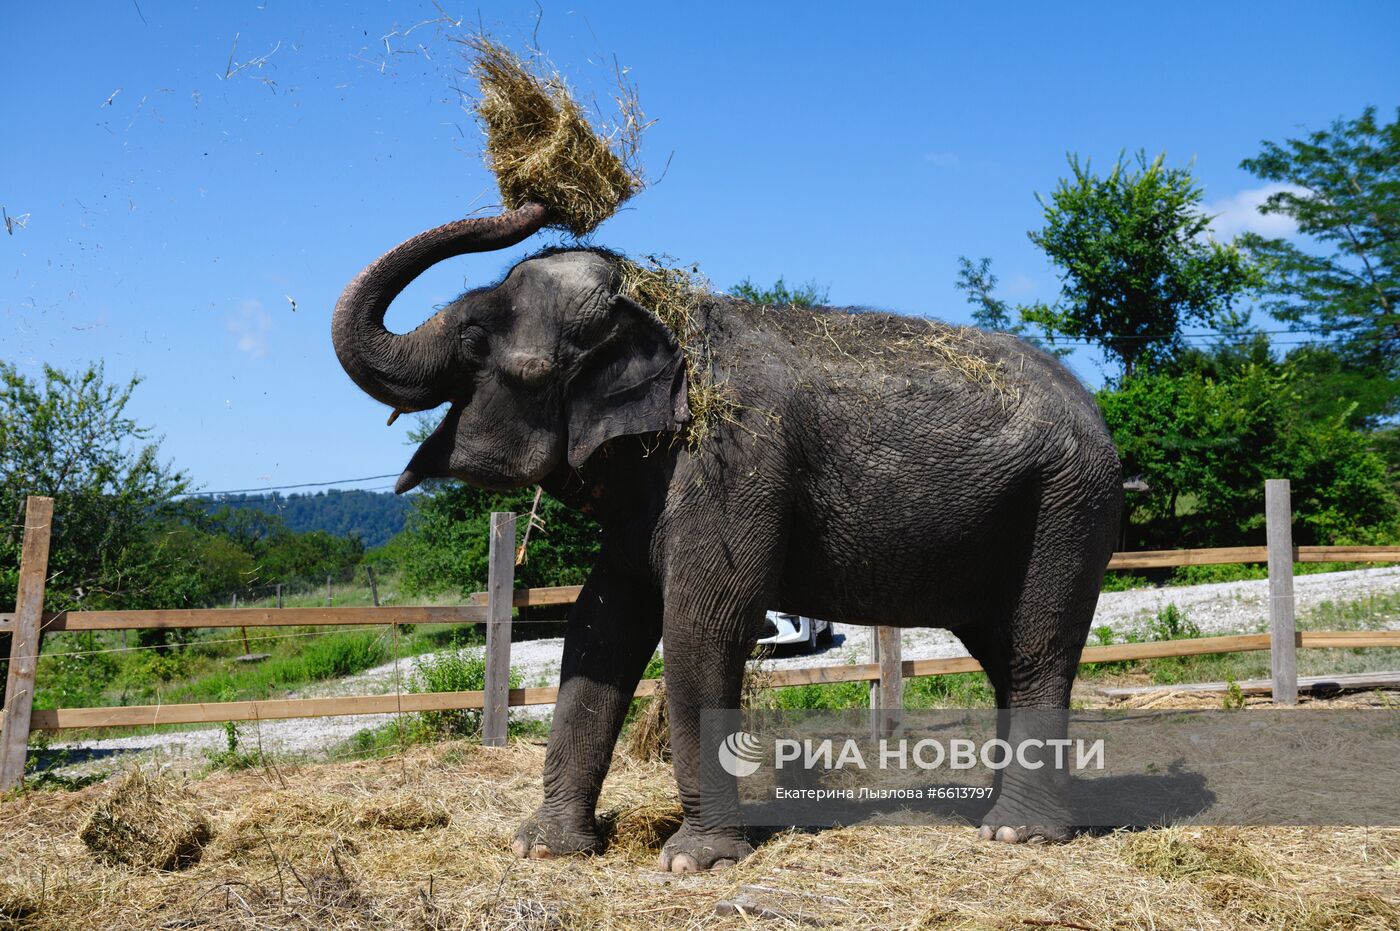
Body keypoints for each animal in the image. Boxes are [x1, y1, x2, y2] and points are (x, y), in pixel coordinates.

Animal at [333, 200, 1120, 868]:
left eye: (475, 345)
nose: (535, 201)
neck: (663, 316)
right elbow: (599, 626)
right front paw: (544, 849)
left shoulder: (732, 464)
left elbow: (700, 625)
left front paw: (693, 861)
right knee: (1004, 653)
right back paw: (1003, 812)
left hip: (1067, 506)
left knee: (1036, 649)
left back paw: (1015, 833)